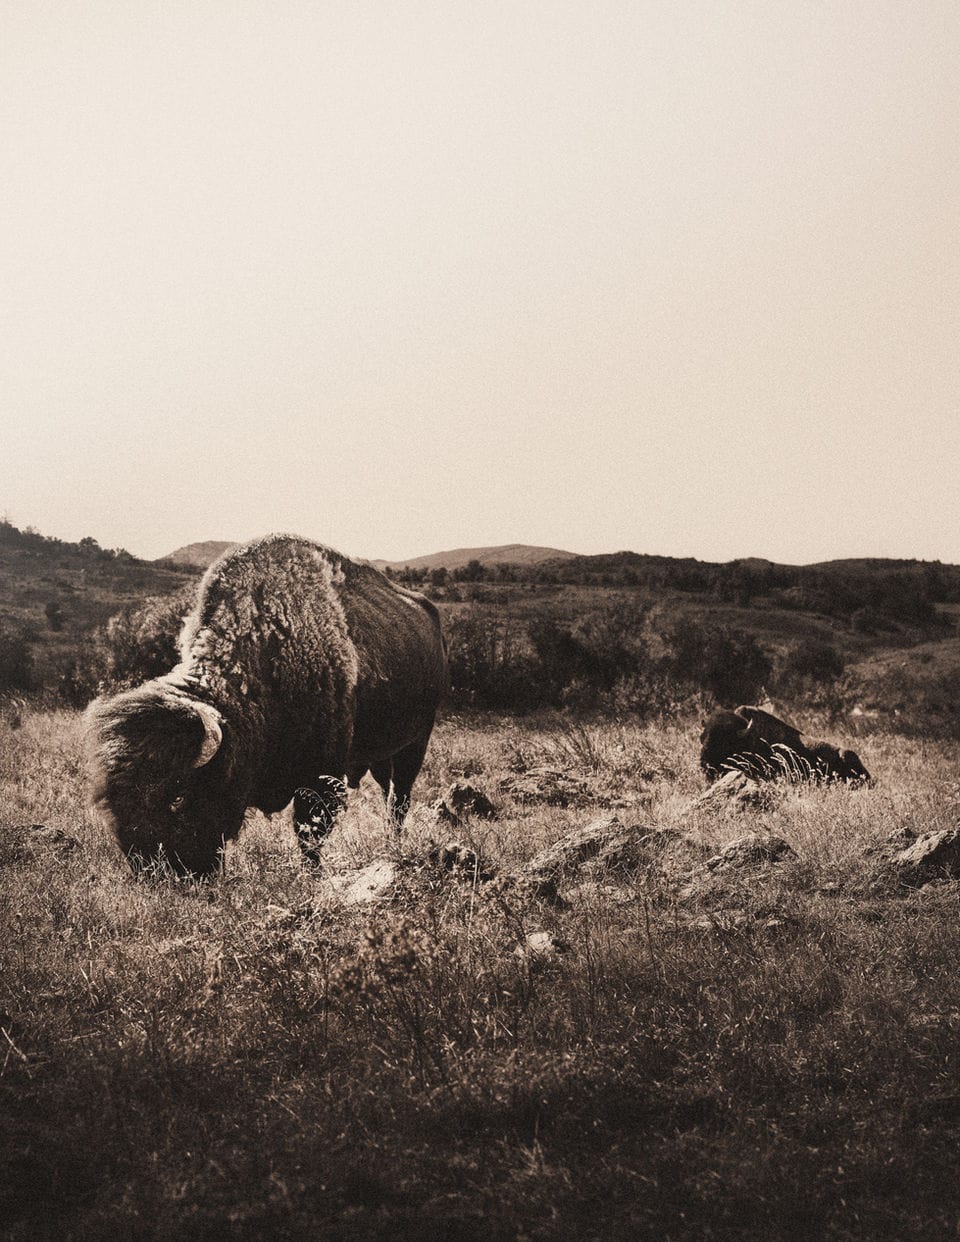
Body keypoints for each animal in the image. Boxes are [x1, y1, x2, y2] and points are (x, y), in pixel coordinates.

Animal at [86, 535, 447, 876]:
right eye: (113, 803)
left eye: (178, 797)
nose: (156, 872)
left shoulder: (320, 777)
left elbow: (310, 835)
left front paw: (312, 877)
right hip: (380, 755)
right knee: (389, 794)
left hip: (416, 742)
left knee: (399, 799)